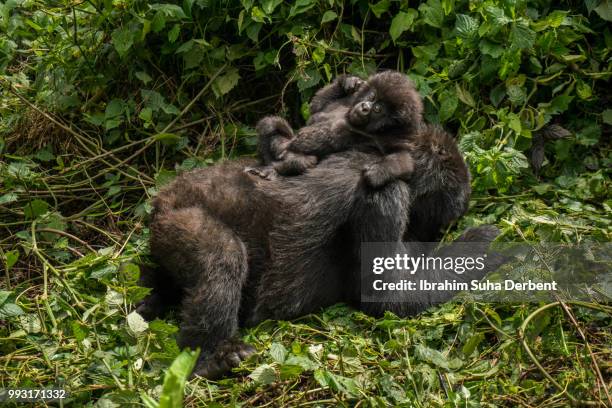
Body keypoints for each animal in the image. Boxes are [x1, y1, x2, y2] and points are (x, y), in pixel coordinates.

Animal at [246, 71, 424, 179]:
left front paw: (379, 171)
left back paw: (273, 170)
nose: (365, 107)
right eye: (372, 97)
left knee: (304, 161)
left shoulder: (392, 137)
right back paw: (267, 163)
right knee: (270, 124)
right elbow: (316, 106)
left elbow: (404, 158)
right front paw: (348, 82)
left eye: (378, 109)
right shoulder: (350, 101)